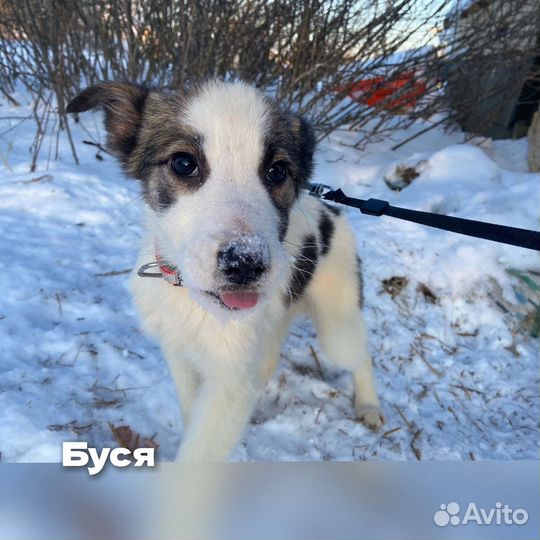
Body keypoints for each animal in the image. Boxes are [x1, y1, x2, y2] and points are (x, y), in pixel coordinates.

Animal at [67, 79, 384, 460]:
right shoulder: (180, 351)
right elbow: (193, 413)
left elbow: (198, 457)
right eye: (183, 163)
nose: (245, 264)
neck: (191, 300)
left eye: (277, 171)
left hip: (338, 323)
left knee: (360, 355)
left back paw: (369, 405)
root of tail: (333, 210)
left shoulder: (229, 384)